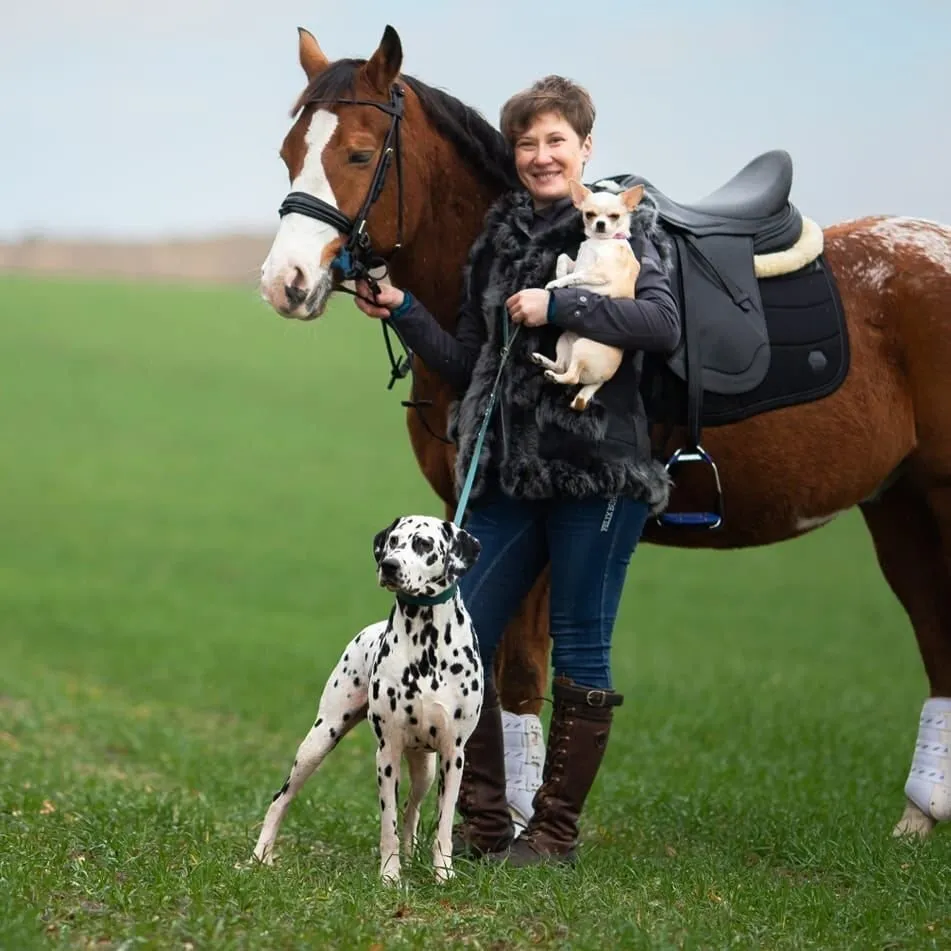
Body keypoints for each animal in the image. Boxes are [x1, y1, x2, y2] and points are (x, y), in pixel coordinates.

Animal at [251, 512, 484, 884]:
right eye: (393, 541)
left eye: (423, 543)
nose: (389, 565)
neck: (425, 645)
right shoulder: (386, 753)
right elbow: (388, 824)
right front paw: (389, 876)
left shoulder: (453, 754)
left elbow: (442, 825)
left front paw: (443, 874)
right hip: (319, 741)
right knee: (281, 798)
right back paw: (260, 855)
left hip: (426, 768)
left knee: (412, 810)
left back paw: (412, 855)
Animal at [256, 24, 951, 840]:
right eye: (289, 151)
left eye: (361, 154)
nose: (284, 282)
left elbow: (524, 670)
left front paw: (518, 817)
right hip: (898, 503)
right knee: (935, 632)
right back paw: (917, 820)